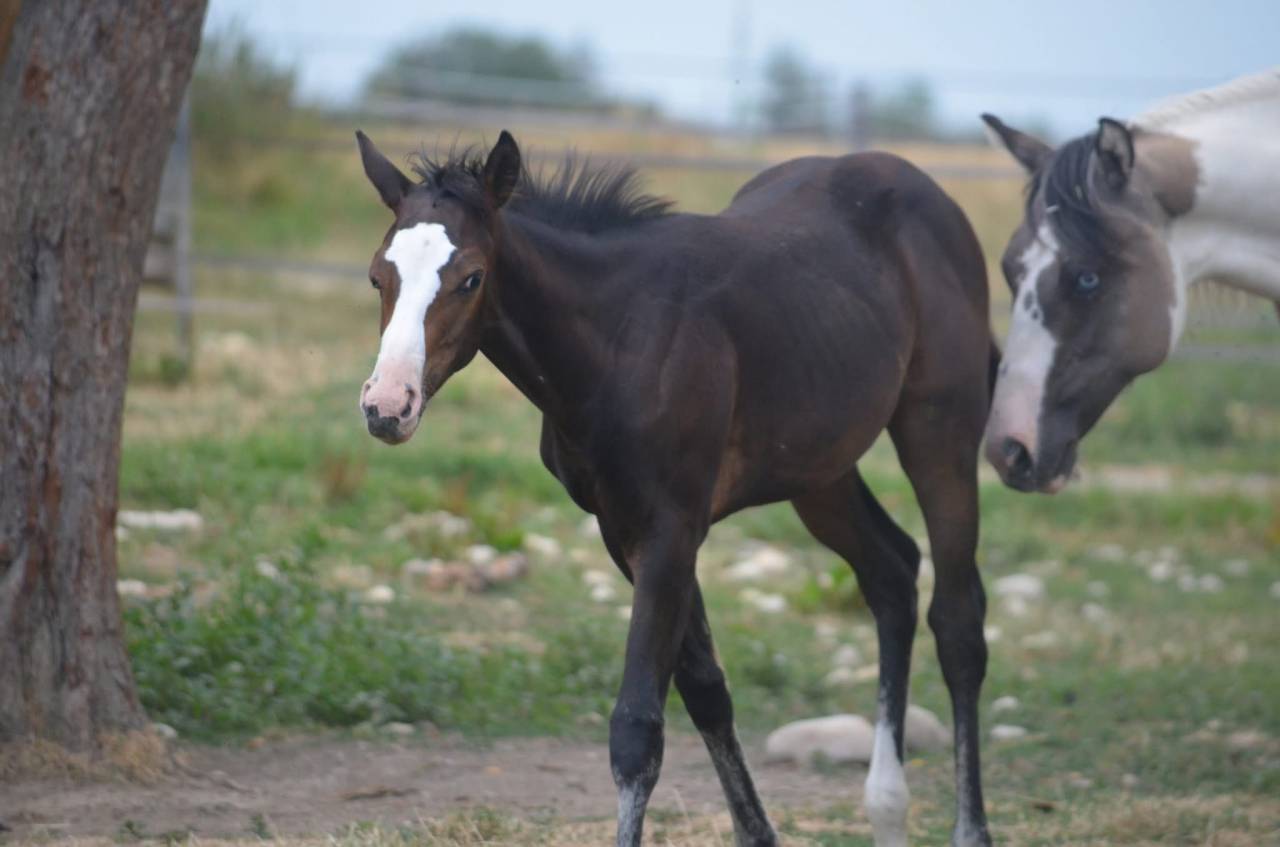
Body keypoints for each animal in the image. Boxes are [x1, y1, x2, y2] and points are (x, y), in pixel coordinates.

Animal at [354, 128, 997, 847]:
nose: (387, 406)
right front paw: (757, 833)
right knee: (891, 571)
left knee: (958, 619)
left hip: (940, 432)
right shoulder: (624, 529)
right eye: (378, 275)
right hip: (820, 468)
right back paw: (886, 807)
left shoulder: (672, 527)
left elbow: (637, 729)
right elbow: (706, 691)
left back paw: (969, 827)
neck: (620, 336)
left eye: (470, 277)